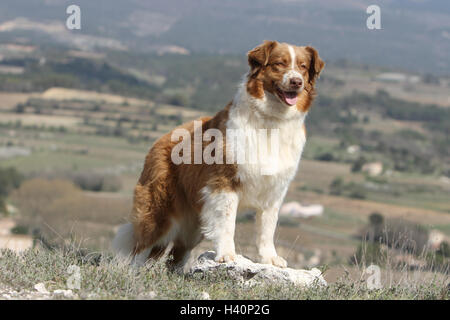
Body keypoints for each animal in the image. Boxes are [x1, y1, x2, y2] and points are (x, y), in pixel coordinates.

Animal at [112, 39, 324, 270]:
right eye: (279, 64)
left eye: (303, 67)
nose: (296, 82)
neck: (272, 120)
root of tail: (161, 139)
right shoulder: (224, 183)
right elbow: (227, 223)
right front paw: (227, 255)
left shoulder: (274, 190)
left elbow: (267, 229)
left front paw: (269, 258)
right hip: (159, 212)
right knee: (140, 248)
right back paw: (132, 273)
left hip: (193, 224)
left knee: (177, 253)